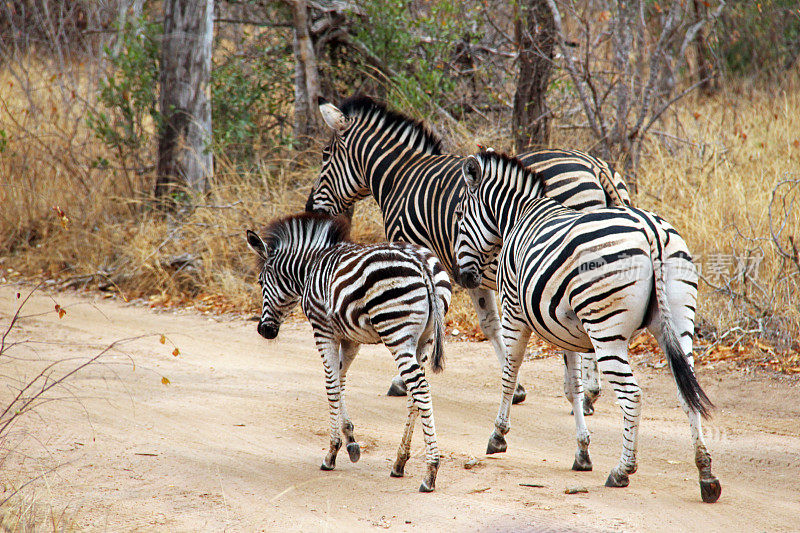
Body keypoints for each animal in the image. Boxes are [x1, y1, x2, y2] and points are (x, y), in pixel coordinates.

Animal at [244, 211, 454, 490]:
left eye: (260, 282)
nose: (264, 331)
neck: (310, 269)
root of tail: (421, 262)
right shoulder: (350, 338)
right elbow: (341, 380)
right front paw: (351, 441)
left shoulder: (323, 330)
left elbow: (331, 386)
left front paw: (332, 452)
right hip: (425, 338)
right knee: (414, 394)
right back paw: (400, 461)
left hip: (396, 332)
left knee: (419, 387)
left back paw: (430, 472)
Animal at [306, 94, 632, 412]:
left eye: (325, 155)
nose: (310, 209)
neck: (400, 176)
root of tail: (595, 165)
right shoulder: (471, 270)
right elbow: (490, 325)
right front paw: (516, 387)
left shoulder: (415, 252)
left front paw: (402, 381)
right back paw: (586, 393)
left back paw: (585, 394)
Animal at [454, 151, 720, 502]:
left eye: (459, 216)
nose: (464, 278)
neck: (519, 216)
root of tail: (649, 229)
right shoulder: (565, 329)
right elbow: (573, 389)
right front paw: (582, 452)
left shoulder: (514, 311)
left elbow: (509, 374)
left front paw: (498, 436)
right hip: (678, 320)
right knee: (686, 389)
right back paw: (706, 475)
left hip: (606, 331)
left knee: (632, 395)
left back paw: (623, 471)